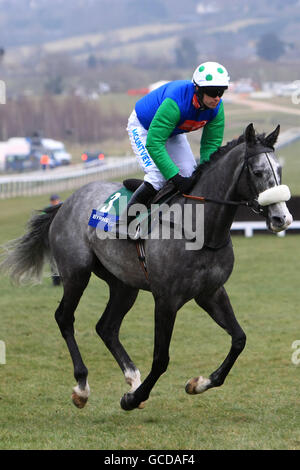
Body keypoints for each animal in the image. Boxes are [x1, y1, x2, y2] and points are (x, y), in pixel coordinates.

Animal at [0, 125, 292, 412]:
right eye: (257, 172)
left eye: (279, 169)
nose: (281, 218)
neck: (201, 229)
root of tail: (67, 201)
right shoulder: (166, 300)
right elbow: (161, 358)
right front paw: (132, 399)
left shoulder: (211, 292)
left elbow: (239, 339)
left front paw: (198, 383)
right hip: (76, 273)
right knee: (64, 317)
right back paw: (82, 387)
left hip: (123, 284)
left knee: (106, 327)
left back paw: (132, 378)